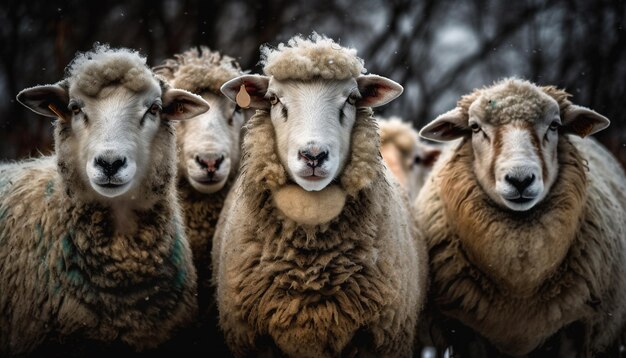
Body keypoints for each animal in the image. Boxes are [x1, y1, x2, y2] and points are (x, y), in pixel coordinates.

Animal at [414, 77, 624, 356]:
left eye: (555, 125)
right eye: (475, 127)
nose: (520, 179)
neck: (519, 287)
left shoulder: (575, 327)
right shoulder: (466, 330)